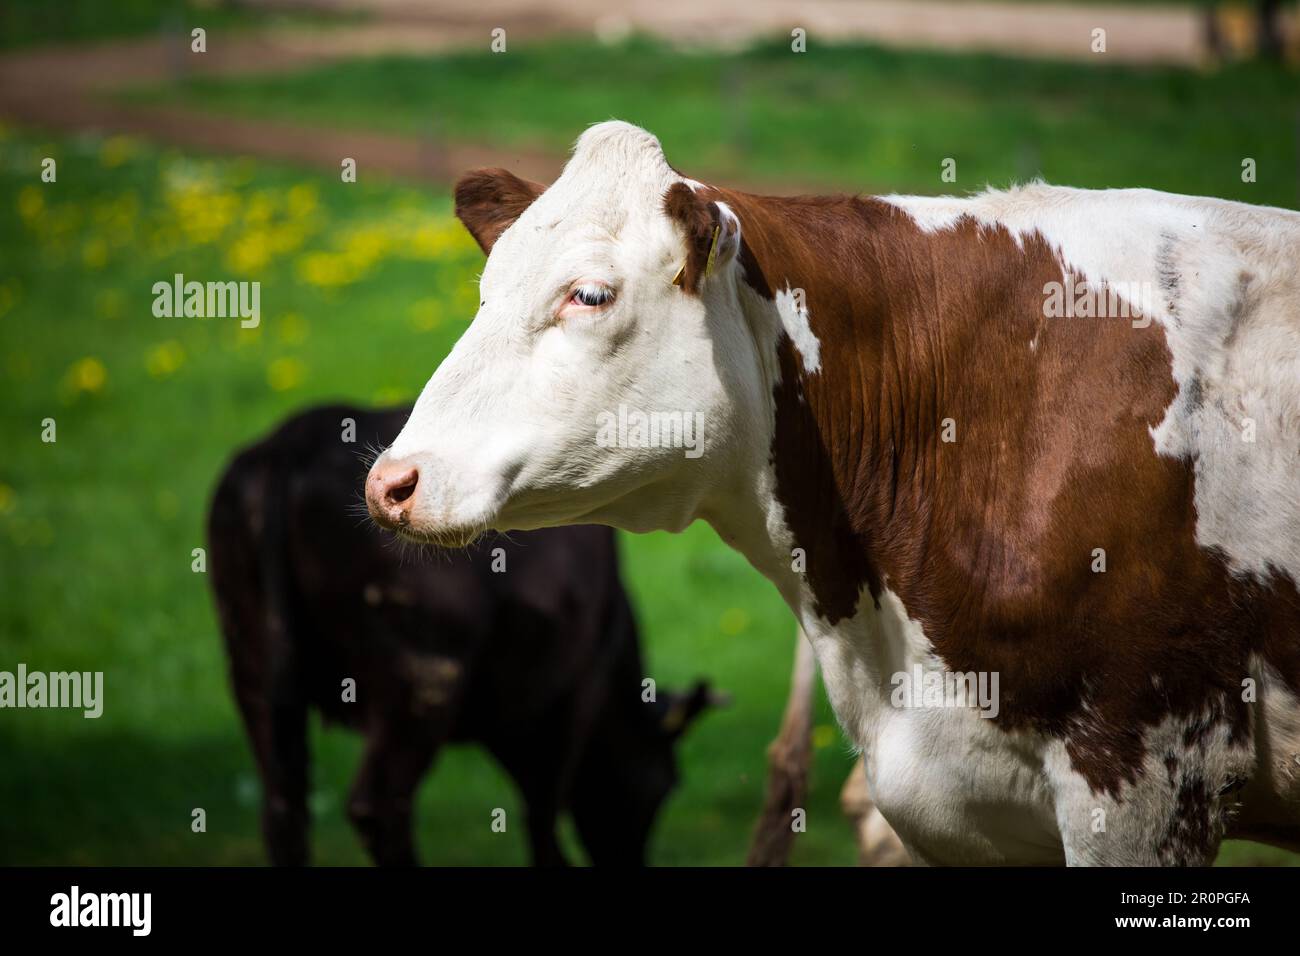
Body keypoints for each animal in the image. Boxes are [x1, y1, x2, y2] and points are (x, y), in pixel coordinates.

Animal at [208, 403, 717, 868]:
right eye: (665, 783)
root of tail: (294, 441)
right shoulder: (576, 690)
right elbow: (543, 809)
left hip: (253, 669)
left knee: (283, 808)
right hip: (424, 678)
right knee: (378, 806)